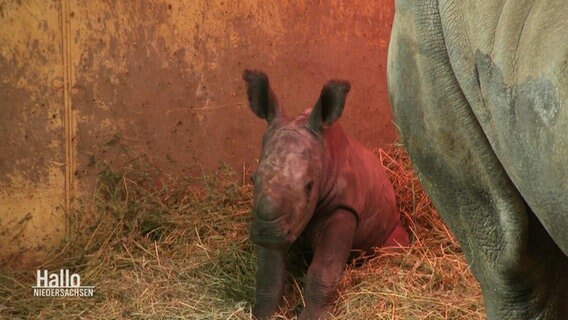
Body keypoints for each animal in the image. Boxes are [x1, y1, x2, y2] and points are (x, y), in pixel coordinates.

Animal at [244, 70, 408, 320]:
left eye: (309, 186)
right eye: (253, 179)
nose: (267, 232)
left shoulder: (343, 208)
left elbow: (323, 270)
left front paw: (311, 316)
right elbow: (269, 273)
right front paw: (262, 314)